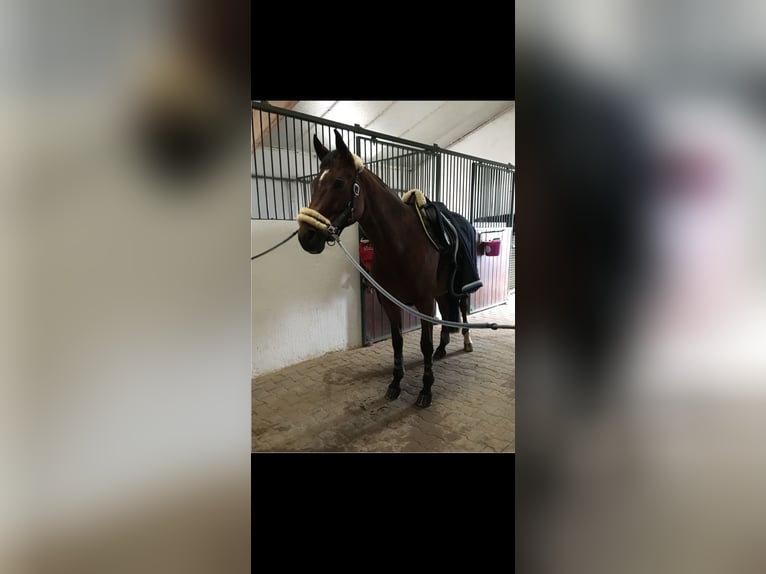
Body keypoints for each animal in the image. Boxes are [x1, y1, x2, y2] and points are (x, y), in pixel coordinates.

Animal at [296, 129, 477, 408]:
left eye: (339, 183)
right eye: (314, 183)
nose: (307, 236)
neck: (400, 244)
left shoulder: (423, 302)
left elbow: (424, 343)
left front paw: (426, 389)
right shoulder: (390, 302)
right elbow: (397, 342)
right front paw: (395, 384)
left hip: (457, 288)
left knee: (462, 309)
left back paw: (466, 343)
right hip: (441, 291)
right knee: (447, 314)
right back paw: (442, 349)